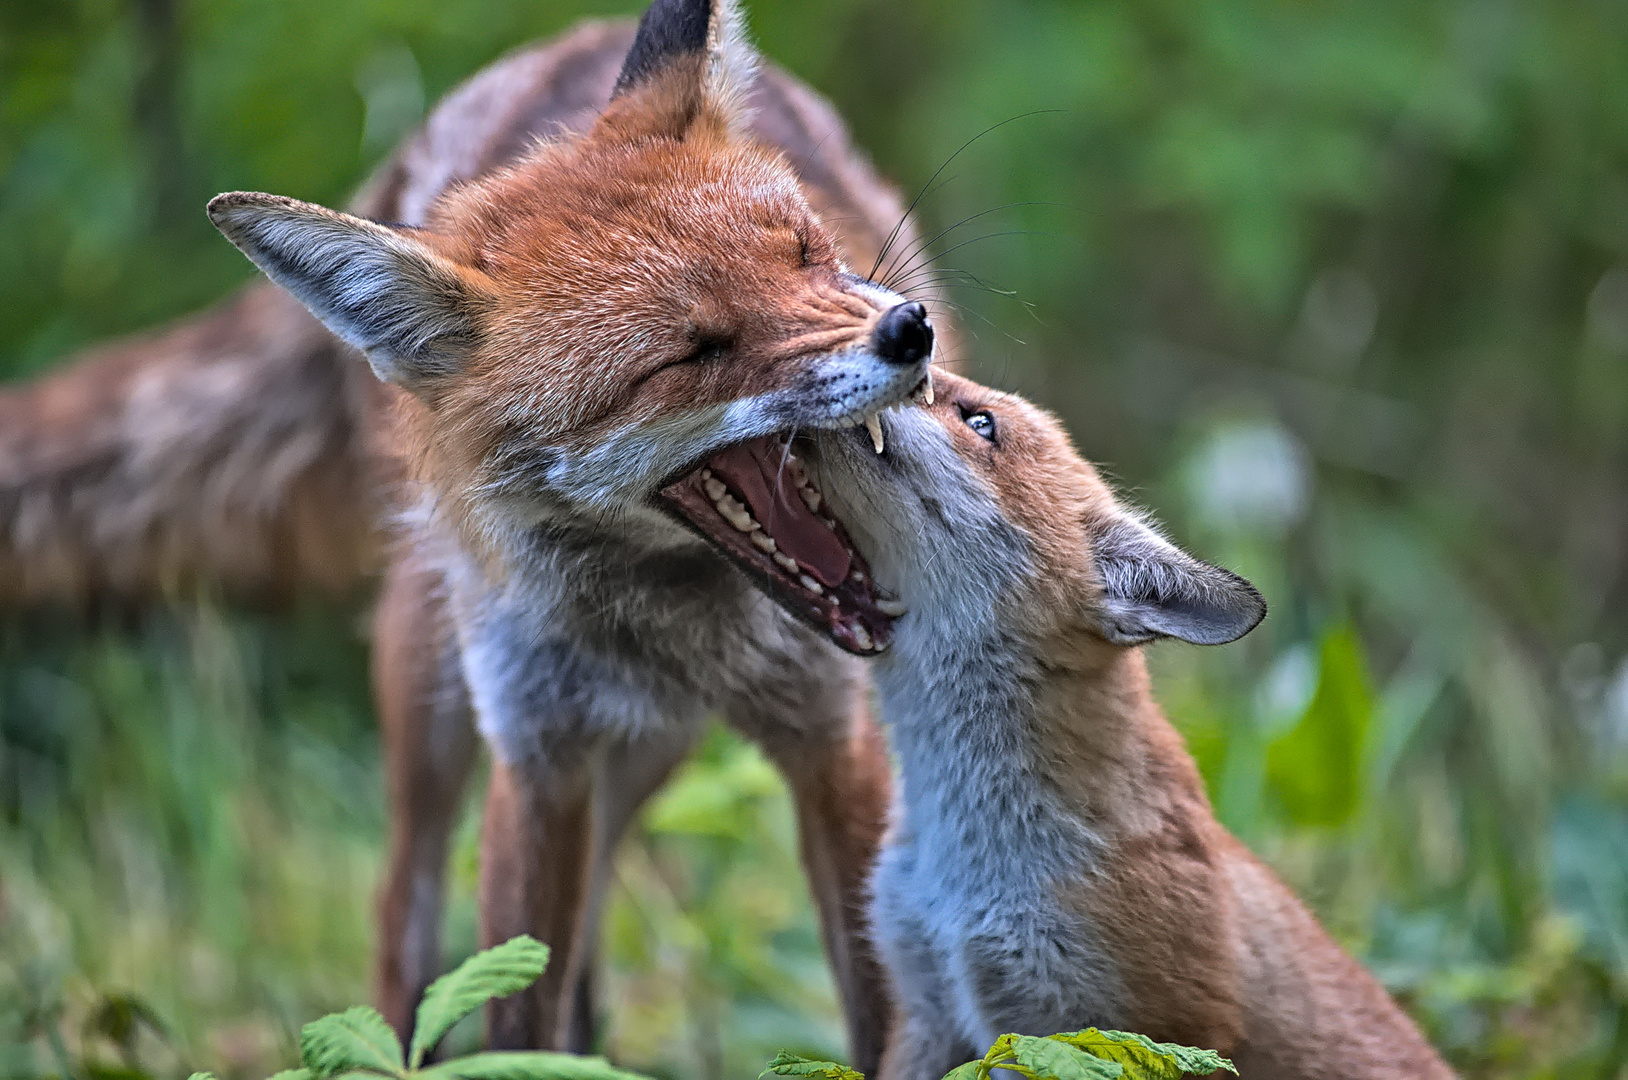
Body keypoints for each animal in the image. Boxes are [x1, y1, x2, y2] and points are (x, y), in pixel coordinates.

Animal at [6, 0, 937, 1068]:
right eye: (691, 353)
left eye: (807, 253)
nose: (909, 331)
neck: (672, 623)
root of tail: (564, 41)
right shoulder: (535, 755)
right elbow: (514, 1010)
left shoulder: (833, 739)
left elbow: (882, 1012)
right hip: (437, 699)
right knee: (404, 924)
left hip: (640, 760)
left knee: (588, 927)